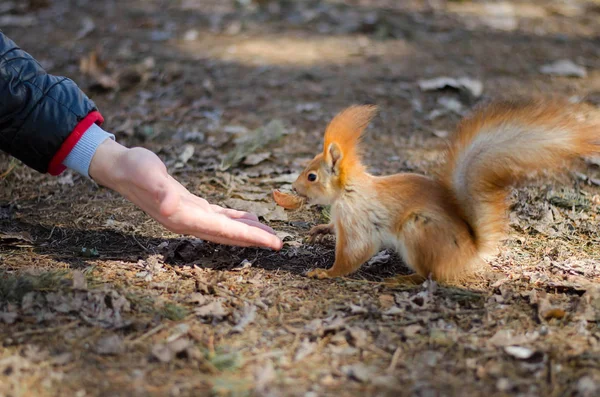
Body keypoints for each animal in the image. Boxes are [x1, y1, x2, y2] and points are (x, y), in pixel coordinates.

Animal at [290, 100, 600, 284]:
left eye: (312, 176)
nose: (293, 187)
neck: (347, 191)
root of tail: (470, 252)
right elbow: (333, 228)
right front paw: (320, 230)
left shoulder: (356, 219)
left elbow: (353, 253)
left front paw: (325, 272)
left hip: (418, 231)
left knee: (431, 275)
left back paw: (404, 280)